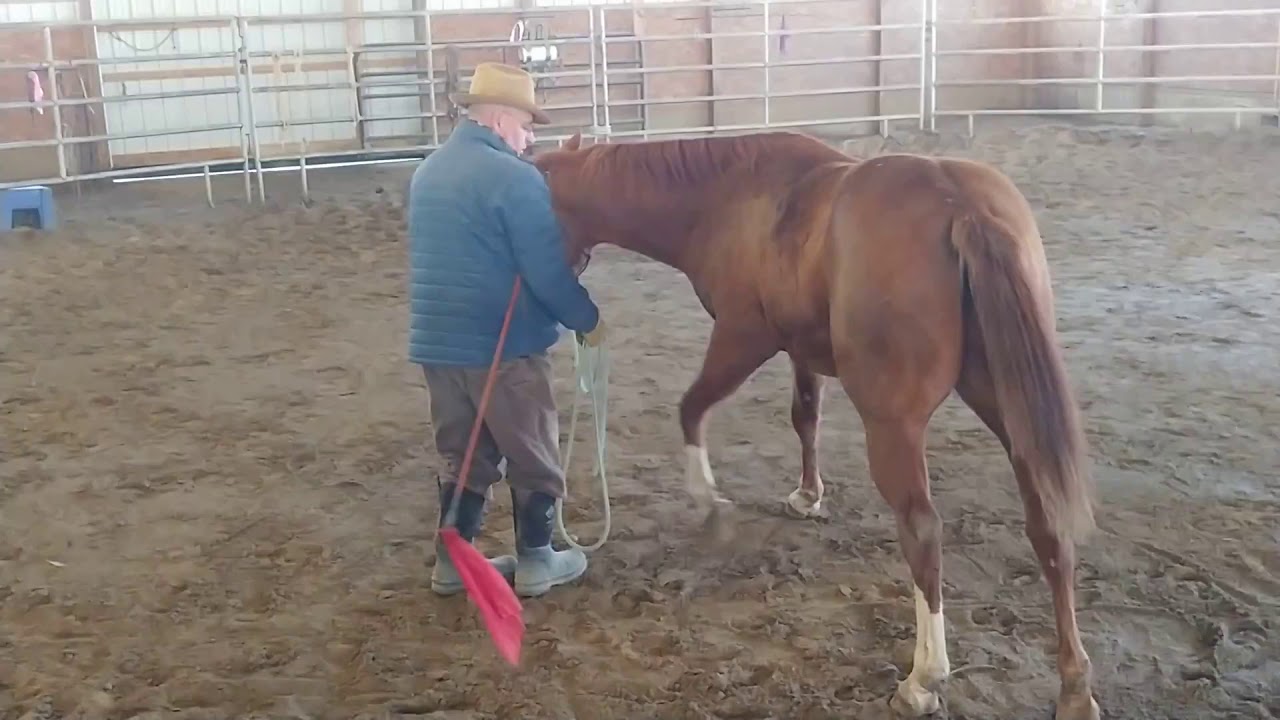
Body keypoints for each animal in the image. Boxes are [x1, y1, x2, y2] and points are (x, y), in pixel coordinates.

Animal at [532, 130, 1099, 720]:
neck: (726, 197)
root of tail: (960, 206)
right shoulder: (800, 349)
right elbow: (805, 417)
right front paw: (808, 495)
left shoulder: (743, 336)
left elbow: (691, 409)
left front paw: (711, 504)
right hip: (1011, 410)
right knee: (1048, 526)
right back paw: (1075, 687)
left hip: (894, 426)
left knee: (922, 531)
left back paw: (924, 677)